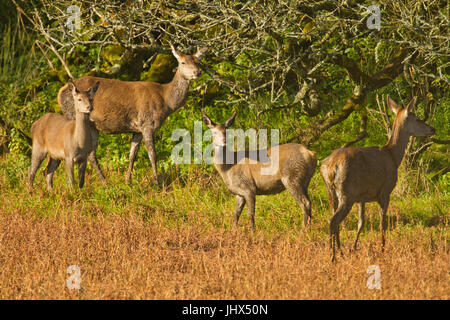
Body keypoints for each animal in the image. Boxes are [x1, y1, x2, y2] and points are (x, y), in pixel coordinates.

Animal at [320, 96, 436, 262]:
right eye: (417, 118)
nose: (432, 129)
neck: (393, 156)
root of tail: (329, 167)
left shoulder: (361, 197)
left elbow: (361, 222)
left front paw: (353, 248)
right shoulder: (385, 191)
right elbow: (383, 222)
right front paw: (382, 248)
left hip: (331, 191)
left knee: (333, 219)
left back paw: (340, 251)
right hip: (346, 192)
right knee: (333, 221)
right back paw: (332, 256)